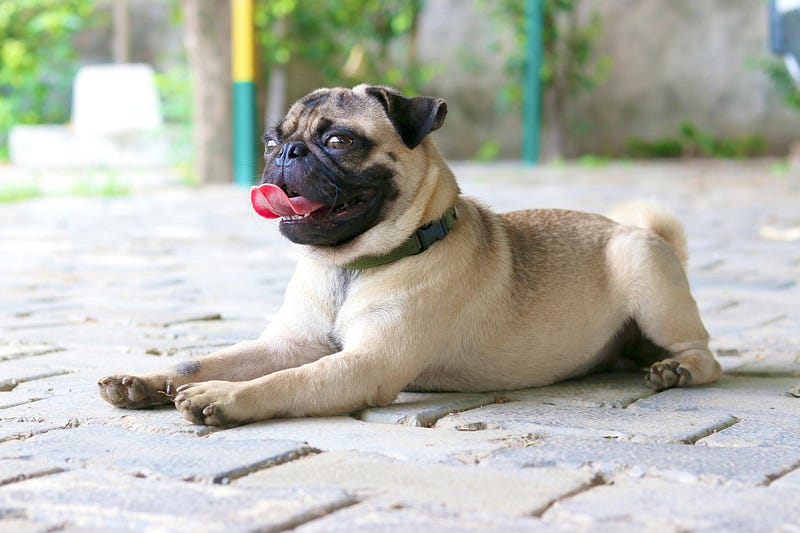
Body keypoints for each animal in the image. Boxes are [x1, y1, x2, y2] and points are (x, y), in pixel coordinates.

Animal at [97, 84, 720, 424]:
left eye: (338, 141)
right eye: (272, 140)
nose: (286, 154)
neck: (348, 267)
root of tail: (632, 231)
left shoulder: (365, 364)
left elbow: (289, 383)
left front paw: (226, 396)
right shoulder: (286, 345)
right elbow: (199, 361)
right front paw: (150, 380)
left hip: (646, 273)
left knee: (706, 356)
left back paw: (674, 371)